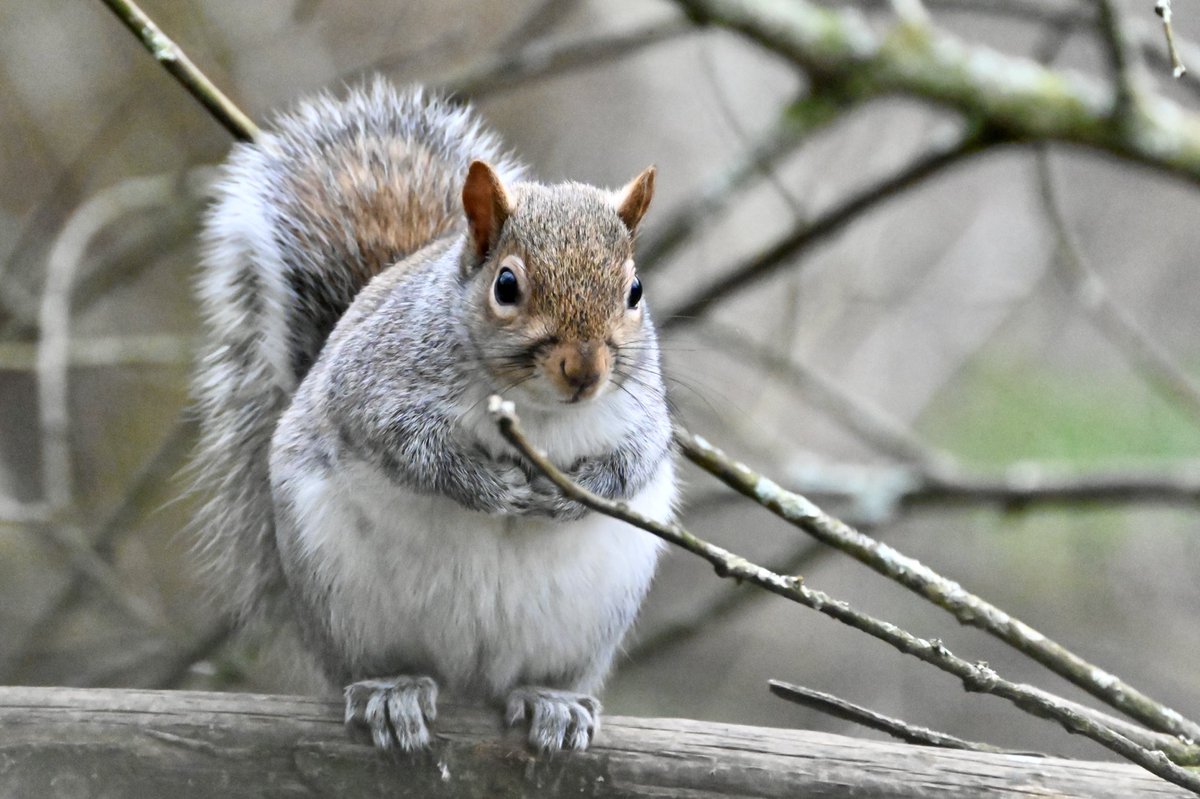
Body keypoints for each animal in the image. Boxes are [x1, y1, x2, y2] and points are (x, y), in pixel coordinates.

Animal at [191, 80, 678, 754]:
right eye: (506, 285)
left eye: (634, 292)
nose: (584, 372)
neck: (535, 412)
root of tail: (467, 681)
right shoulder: (372, 387)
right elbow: (411, 449)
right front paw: (491, 488)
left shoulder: (644, 413)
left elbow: (637, 461)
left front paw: (573, 493)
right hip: (344, 601)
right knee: (380, 665)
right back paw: (392, 692)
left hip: (588, 622)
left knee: (534, 678)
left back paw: (550, 702)